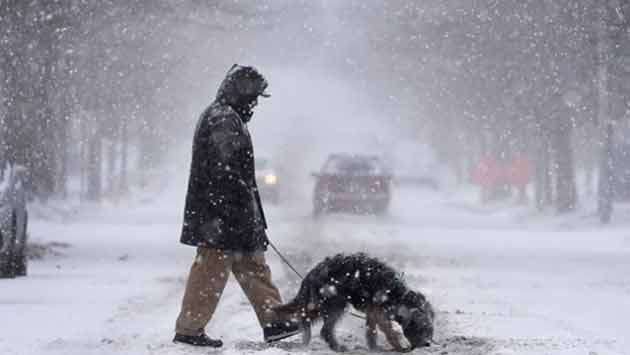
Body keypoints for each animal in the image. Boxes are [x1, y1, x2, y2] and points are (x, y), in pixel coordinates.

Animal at [274, 254, 436, 352]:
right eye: (421, 328)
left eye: (430, 329)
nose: (427, 343)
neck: (397, 294)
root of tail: (313, 272)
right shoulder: (379, 311)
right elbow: (388, 330)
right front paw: (397, 346)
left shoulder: (373, 312)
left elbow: (371, 331)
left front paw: (374, 347)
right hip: (333, 302)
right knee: (315, 323)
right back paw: (323, 342)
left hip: (326, 303)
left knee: (312, 321)